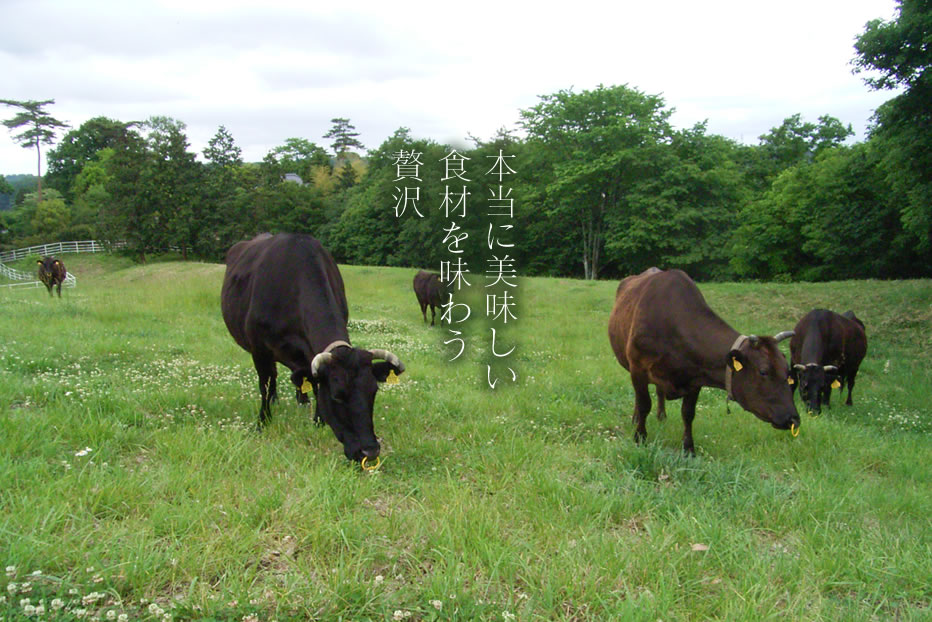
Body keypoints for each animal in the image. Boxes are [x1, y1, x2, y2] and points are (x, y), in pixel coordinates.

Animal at [223, 234, 408, 464]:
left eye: (373, 392)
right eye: (337, 396)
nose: (370, 452)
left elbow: (313, 381)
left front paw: (318, 420)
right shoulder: (259, 349)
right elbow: (264, 385)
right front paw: (262, 422)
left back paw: (301, 400)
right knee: (273, 375)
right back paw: (276, 400)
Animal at [608, 268, 796, 454]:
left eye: (788, 372)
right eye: (763, 371)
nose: (793, 418)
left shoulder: (696, 377)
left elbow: (688, 413)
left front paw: (688, 448)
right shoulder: (638, 368)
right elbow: (644, 404)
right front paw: (640, 437)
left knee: (660, 391)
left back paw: (662, 416)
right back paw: (636, 418)